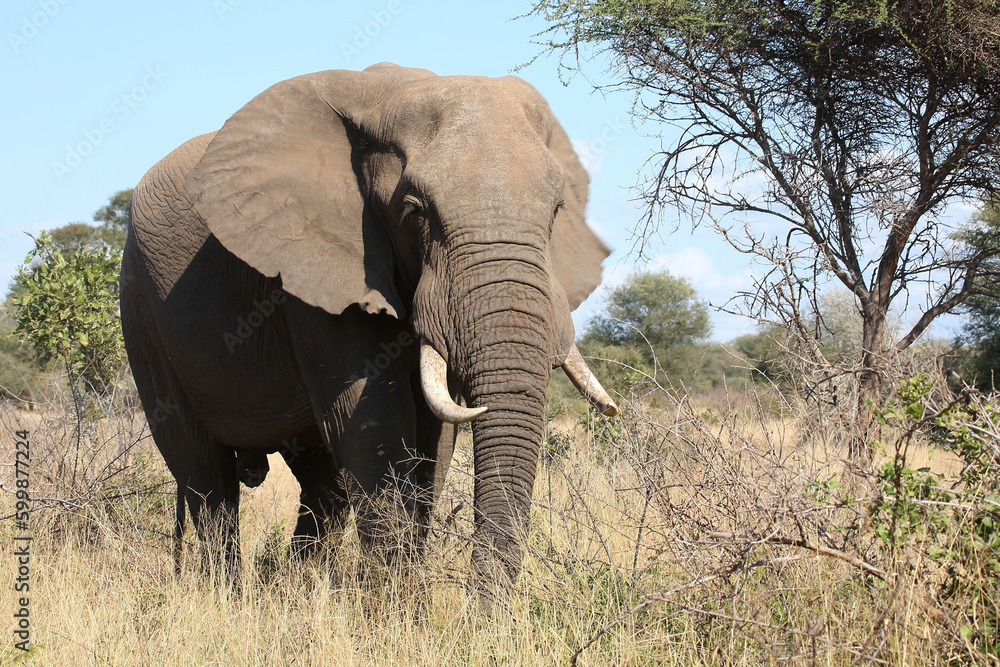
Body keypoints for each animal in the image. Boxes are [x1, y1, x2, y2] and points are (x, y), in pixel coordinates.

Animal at [119, 62, 618, 589]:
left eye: (557, 211)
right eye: (414, 210)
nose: (483, 608)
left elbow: (434, 441)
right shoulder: (317, 268)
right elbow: (373, 425)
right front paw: (400, 606)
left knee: (321, 483)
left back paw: (295, 586)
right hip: (142, 310)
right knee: (205, 477)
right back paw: (229, 595)